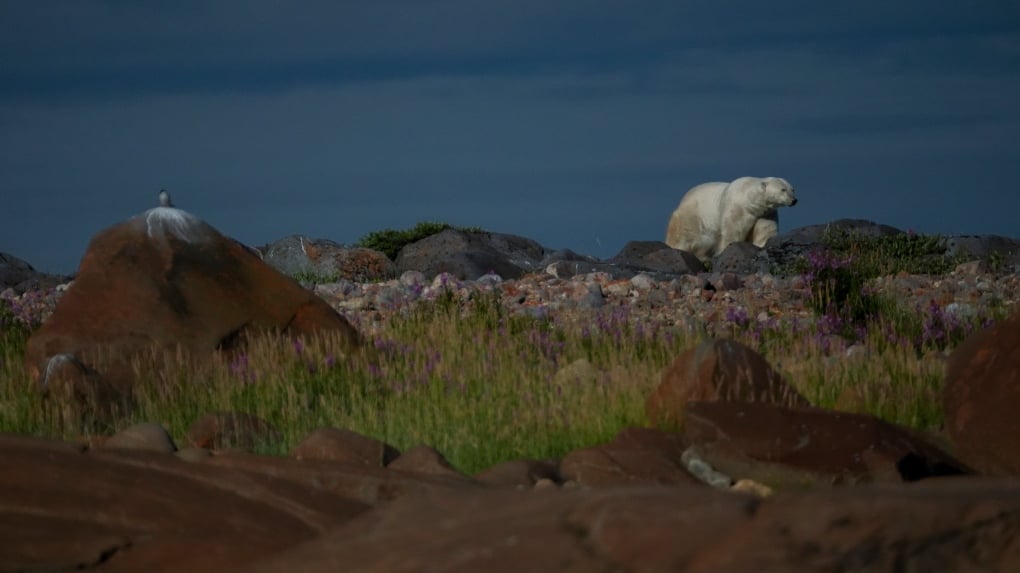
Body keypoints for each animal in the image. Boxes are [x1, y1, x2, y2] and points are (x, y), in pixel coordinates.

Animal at [665, 176, 799, 261]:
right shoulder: (738, 208)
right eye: (783, 189)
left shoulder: (765, 213)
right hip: (693, 216)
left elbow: (765, 231)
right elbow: (733, 231)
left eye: (792, 189)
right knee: (684, 236)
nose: (794, 200)